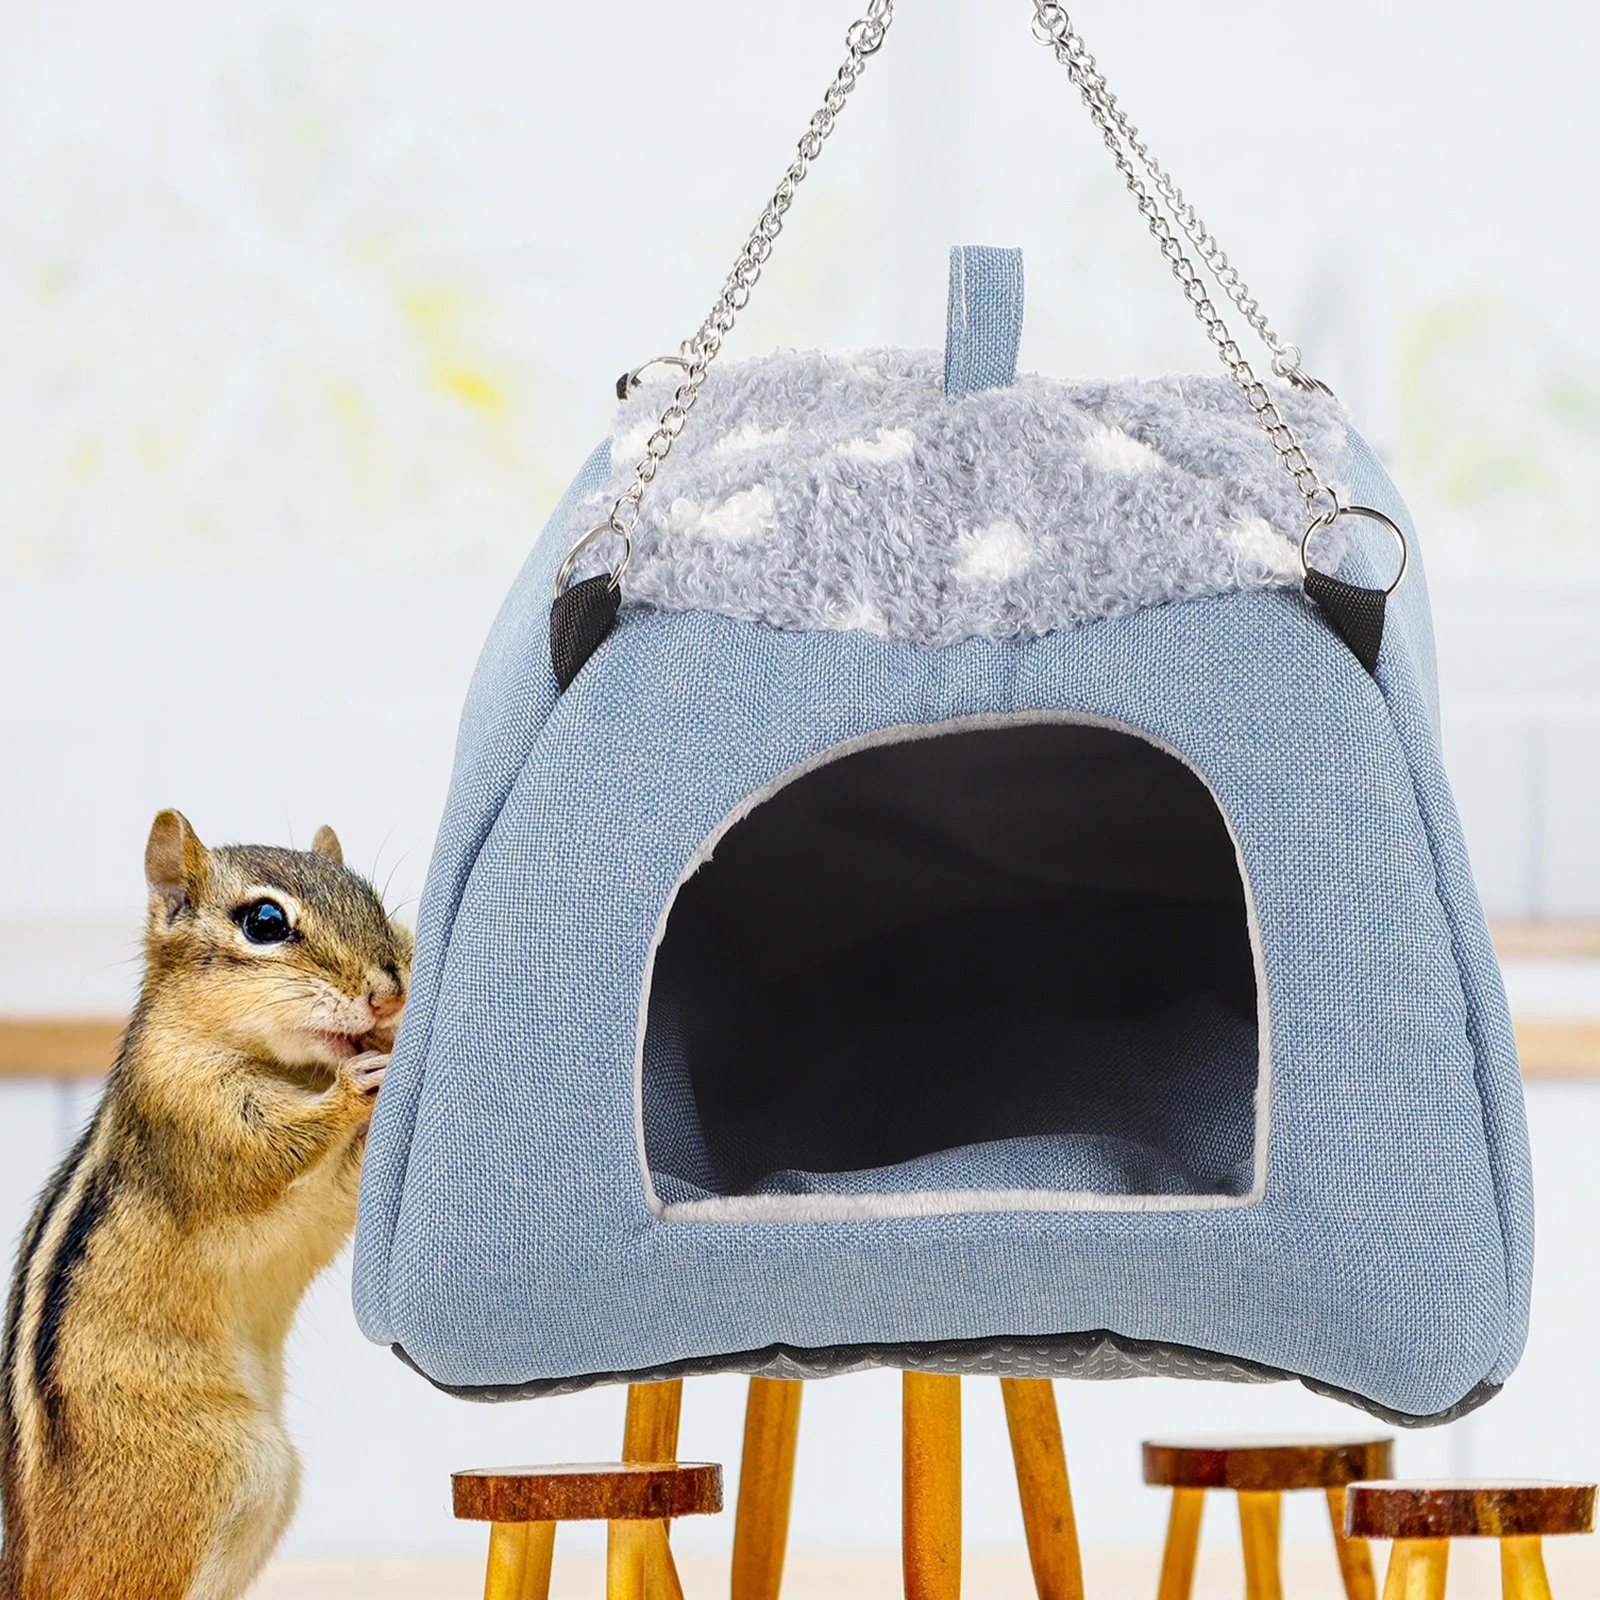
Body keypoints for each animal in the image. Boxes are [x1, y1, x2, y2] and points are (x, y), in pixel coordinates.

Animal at [1, 809, 412, 1600]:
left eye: (373, 900)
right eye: (265, 922)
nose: (388, 992)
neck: (289, 1065)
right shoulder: (194, 1110)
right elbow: (269, 1148)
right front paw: (360, 1082)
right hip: (224, 1470)